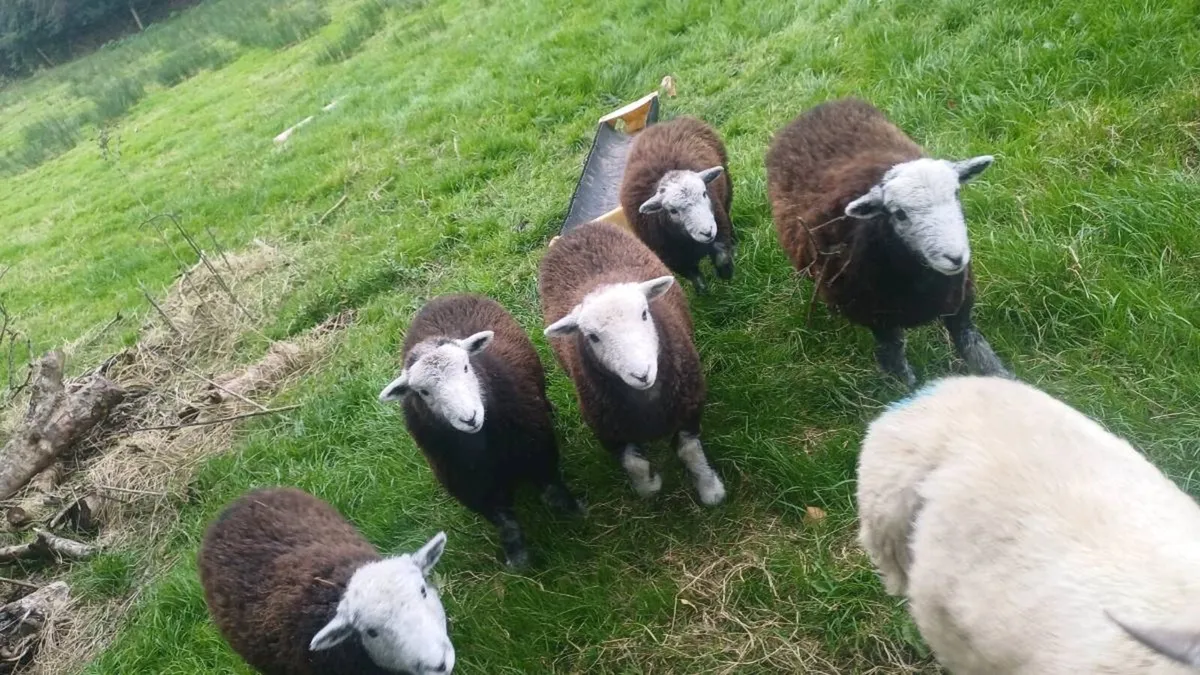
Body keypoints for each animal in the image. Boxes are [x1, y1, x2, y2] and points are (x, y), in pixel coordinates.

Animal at [379, 294, 582, 569]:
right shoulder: (470, 485)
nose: (469, 418)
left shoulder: (538, 450)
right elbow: (506, 526)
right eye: (423, 392)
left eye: (466, 367)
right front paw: (519, 562)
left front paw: (576, 515)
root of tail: (441, 297)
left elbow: (554, 493)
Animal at [539, 220, 725, 506]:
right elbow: (635, 465)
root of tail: (577, 230)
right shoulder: (608, 431)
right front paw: (649, 485)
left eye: (645, 313)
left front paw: (710, 489)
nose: (641, 374)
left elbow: (689, 451)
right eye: (592, 336)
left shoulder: (690, 407)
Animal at [620, 116, 734, 294]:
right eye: (672, 211)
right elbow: (693, 276)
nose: (707, 232)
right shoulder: (672, 258)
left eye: (704, 193)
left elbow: (722, 257)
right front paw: (703, 292)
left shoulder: (719, 227)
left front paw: (726, 274)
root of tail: (662, 124)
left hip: (726, 184)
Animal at [766, 98, 1008, 387]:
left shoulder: (959, 305)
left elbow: (982, 356)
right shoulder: (878, 320)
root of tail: (815, 108)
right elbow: (900, 371)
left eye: (957, 193)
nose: (955, 258)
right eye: (899, 213)